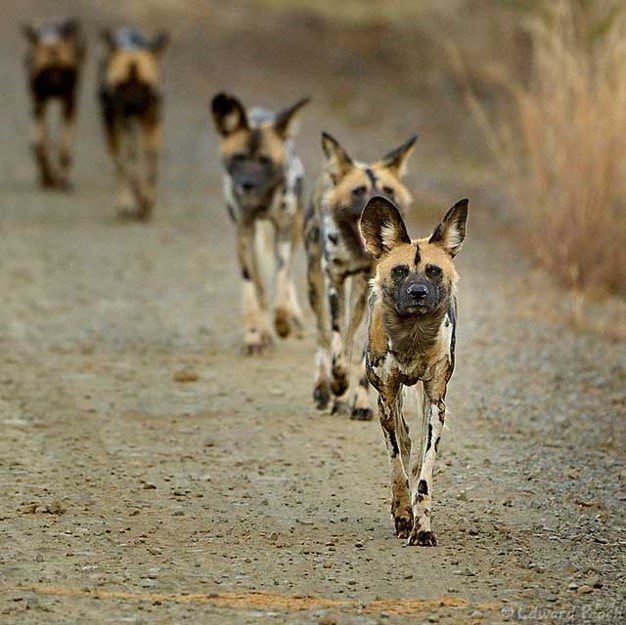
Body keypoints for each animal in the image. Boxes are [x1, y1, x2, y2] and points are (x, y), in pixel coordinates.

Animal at [22, 19, 85, 190]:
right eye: (46, 71)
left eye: (62, 68)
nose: (55, 84)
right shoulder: (39, 104)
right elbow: (39, 145)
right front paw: (47, 178)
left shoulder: (69, 104)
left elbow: (64, 148)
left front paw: (62, 178)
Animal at [96, 27, 168, 222]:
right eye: (121, 85)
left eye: (145, 85)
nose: (132, 105)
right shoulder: (124, 124)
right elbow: (132, 166)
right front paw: (138, 201)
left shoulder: (152, 124)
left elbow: (150, 164)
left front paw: (147, 199)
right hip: (114, 128)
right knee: (121, 165)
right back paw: (125, 203)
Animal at [208, 93, 308, 356]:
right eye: (238, 158)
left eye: (265, 161)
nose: (247, 184)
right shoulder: (244, 232)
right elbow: (250, 288)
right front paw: (254, 335)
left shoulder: (284, 231)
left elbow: (281, 278)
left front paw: (283, 320)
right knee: (260, 286)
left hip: (294, 230)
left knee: (286, 276)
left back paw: (292, 316)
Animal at [302, 135, 414, 422]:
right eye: (358, 191)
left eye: (388, 190)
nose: (378, 208)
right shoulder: (335, 282)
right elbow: (337, 342)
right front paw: (337, 383)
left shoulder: (370, 290)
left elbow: (360, 350)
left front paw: (360, 402)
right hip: (315, 285)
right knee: (325, 337)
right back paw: (325, 389)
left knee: (351, 340)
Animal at [358, 193, 466, 544]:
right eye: (400, 271)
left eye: (433, 271)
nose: (417, 293)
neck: (413, 335)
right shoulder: (385, 398)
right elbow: (397, 466)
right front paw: (403, 515)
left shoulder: (436, 401)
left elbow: (424, 475)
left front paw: (422, 528)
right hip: (392, 401)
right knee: (404, 444)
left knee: (416, 453)